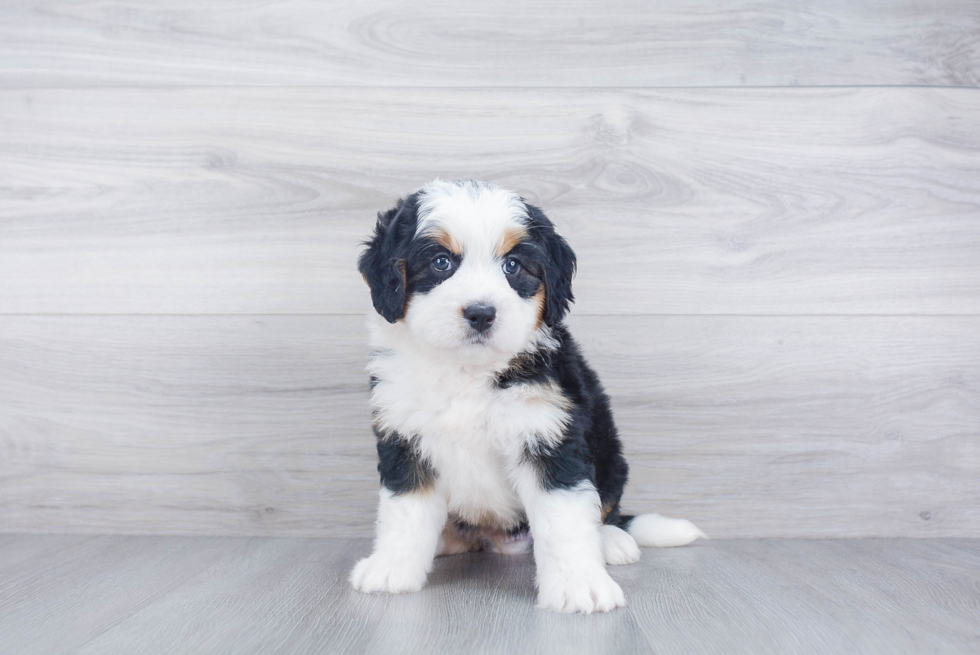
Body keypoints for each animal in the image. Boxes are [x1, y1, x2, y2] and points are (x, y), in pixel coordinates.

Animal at [352, 181, 704, 616]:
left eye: (513, 266)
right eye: (440, 262)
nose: (481, 313)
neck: (468, 371)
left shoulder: (549, 438)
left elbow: (565, 520)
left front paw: (579, 586)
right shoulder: (405, 438)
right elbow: (404, 513)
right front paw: (391, 569)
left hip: (610, 456)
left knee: (607, 510)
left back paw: (611, 541)